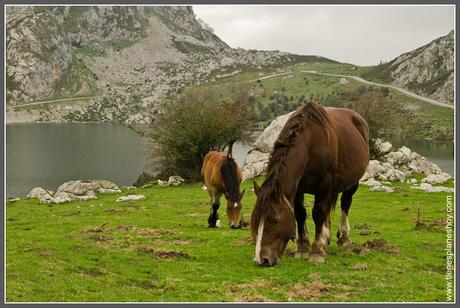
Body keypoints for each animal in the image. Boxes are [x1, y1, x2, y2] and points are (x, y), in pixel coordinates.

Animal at [250, 102, 368, 266]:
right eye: (256, 220)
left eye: (274, 219)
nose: (261, 259)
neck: (311, 143)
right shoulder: (298, 188)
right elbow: (300, 214)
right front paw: (302, 248)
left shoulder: (324, 184)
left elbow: (318, 213)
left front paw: (317, 251)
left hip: (352, 183)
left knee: (345, 203)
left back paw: (343, 238)